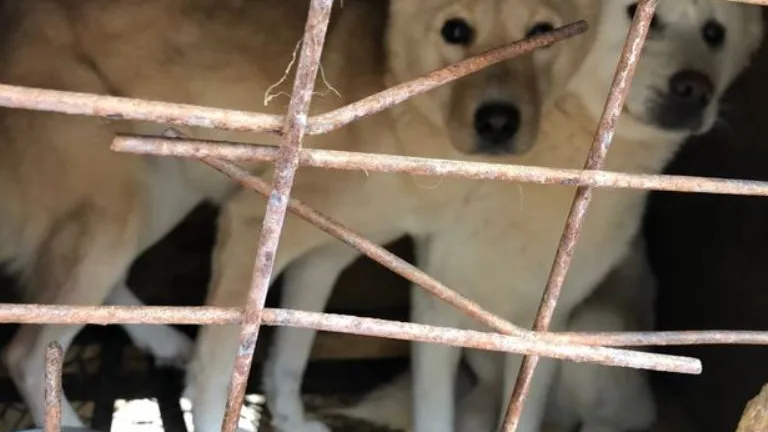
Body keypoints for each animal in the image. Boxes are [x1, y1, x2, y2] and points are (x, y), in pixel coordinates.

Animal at [184, 1, 600, 430]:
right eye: (455, 31)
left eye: (542, 32)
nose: (498, 122)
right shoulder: (250, 225)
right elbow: (217, 367)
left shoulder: (324, 258)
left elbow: (291, 352)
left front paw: (290, 418)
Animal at [256, 0, 760, 432]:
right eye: (639, 14)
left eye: (714, 33)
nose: (695, 88)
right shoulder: (439, 302)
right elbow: (434, 409)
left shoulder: (543, 328)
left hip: (597, 333)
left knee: (619, 417)